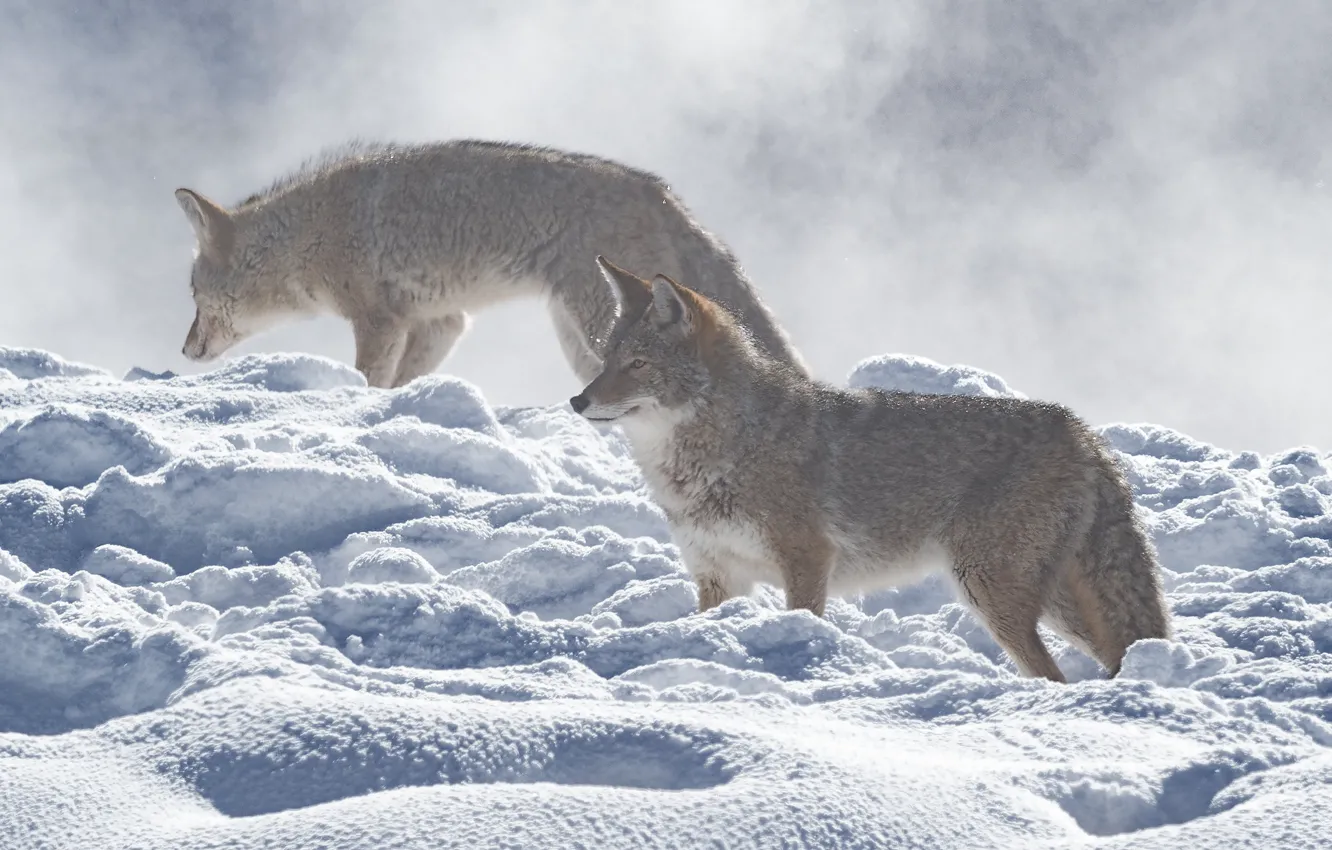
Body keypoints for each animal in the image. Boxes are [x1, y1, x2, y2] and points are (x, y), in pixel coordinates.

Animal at [173, 140, 806, 388]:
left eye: (192, 296)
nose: (184, 350)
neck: (313, 232)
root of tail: (663, 193)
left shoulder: (379, 321)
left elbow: (369, 380)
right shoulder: (441, 321)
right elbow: (401, 384)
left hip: (596, 330)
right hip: (577, 340)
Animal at [570, 257, 1172, 682]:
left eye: (638, 365)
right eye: (605, 360)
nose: (578, 401)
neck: (726, 450)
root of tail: (1078, 430)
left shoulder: (807, 561)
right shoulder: (718, 576)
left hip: (990, 591)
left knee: (1054, 674)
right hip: (1052, 604)